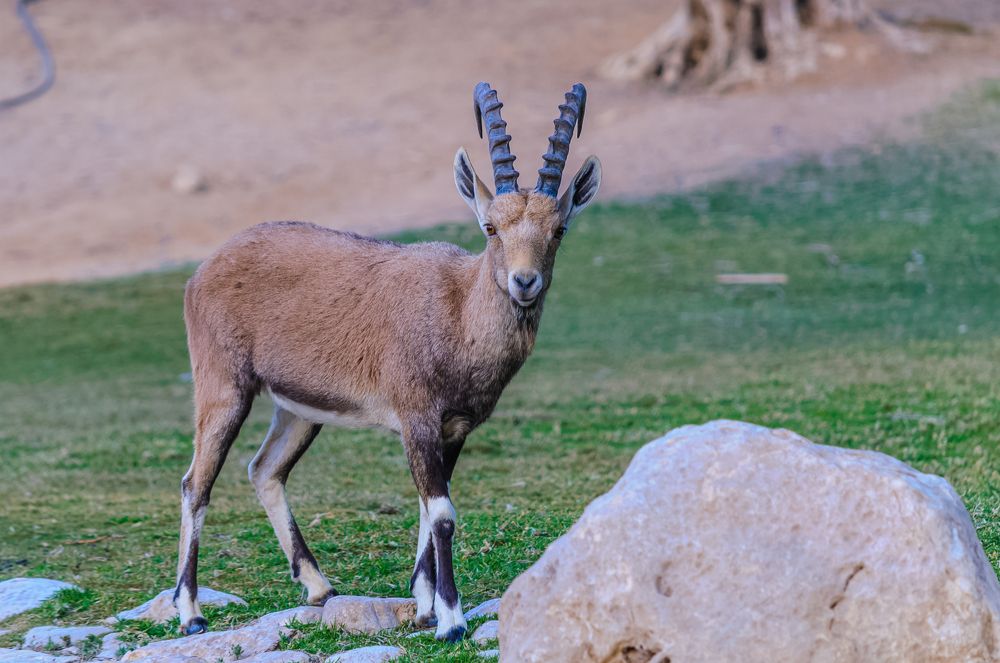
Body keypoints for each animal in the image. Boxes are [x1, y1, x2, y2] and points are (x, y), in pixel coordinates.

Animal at [173, 83, 601, 642]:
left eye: (559, 230)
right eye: (491, 227)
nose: (524, 282)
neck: (456, 312)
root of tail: (203, 271)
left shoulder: (452, 428)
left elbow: (428, 508)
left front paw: (424, 605)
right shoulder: (415, 416)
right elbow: (441, 513)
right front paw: (450, 620)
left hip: (299, 408)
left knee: (264, 469)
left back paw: (318, 586)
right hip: (224, 386)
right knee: (196, 484)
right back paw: (190, 612)